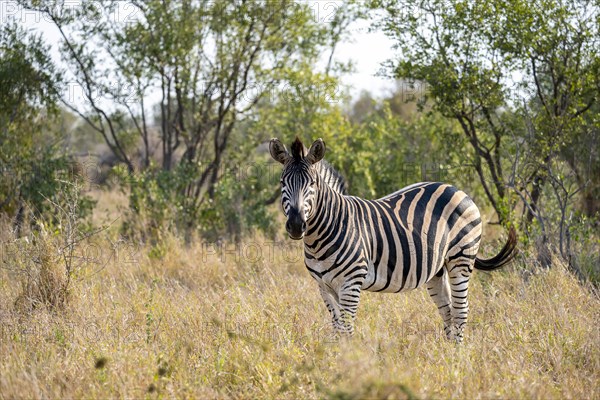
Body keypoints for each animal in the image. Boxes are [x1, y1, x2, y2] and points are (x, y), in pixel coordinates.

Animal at [270, 137, 516, 340]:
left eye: (312, 183)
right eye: (282, 182)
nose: (296, 225)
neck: (322, 234)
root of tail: (456, 189)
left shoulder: (351, 282)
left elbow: (346, 330)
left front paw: (347, 363)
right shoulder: (324, 286)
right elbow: (337, 329)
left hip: (461, 259)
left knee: (461, 311)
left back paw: (458, 358)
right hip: (437, 270)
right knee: (448, 312)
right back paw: (448, 354)